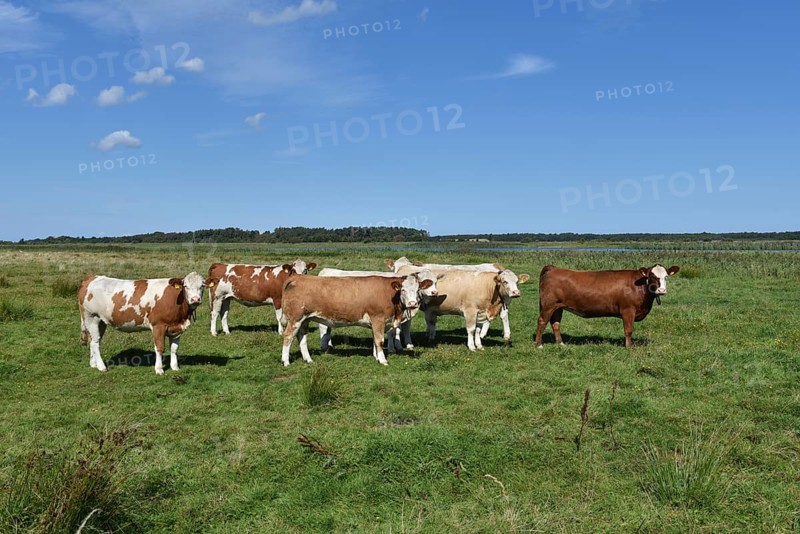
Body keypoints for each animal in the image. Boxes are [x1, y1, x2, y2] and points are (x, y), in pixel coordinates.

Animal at [78, 272, 211, 374]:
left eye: (202, 286)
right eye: (186, 286)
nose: (195, 299)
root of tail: (91, 277)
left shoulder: (176, 328)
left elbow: (174, 349)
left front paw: (175, 367)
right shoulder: (158, 326)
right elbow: (159, 348)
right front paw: (159, 369)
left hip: (101, 321)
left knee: (93, 340)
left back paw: (93, 364)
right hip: (91, 317)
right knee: (95, 342)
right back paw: (101, 367)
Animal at [279, 274, 432, 366]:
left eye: (418, 289)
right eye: (403, 290)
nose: (412, 303)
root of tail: (298, 277)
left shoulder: (375, 322)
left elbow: (374, 340)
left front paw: (376, 357)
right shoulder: (378, 319)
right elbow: (379, 340)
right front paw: (383, 360)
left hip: (305, 319)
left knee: (302, 337)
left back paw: (308, 359)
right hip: (295, 318)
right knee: (288, 336)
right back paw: (285, 361)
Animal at [535, 264, 680, 349]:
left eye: (666, 277)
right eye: (652, 276)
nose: (662, 290)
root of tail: (554, 268)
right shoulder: (628, 310)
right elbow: (628, 330)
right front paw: (629, 347)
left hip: (558, 307)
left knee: (555, 323)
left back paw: (561, 343)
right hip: (548, 305)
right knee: (542, 321)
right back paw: (539, 345)